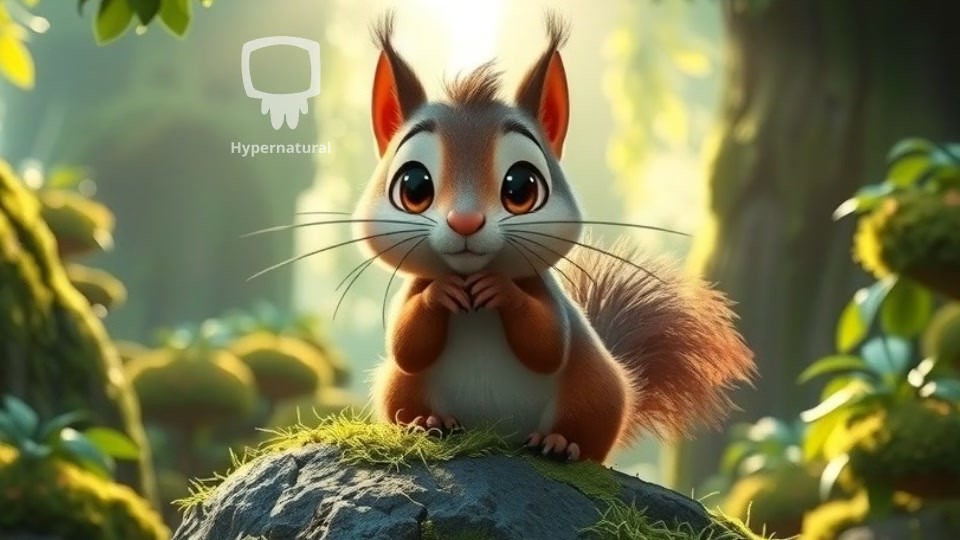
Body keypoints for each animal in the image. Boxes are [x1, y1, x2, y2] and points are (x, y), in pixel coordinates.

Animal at [357, 14, 756, 462]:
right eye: (413, 186)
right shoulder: (412, 297)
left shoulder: (546, 294)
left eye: (521, 187)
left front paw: (500, 289)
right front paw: (442, 291)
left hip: (595, 388)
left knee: (584, 431)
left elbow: (547, 345)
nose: (465, 221)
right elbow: (407, 345)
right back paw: (428, 422)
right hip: (399, 386)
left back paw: (560, 443)